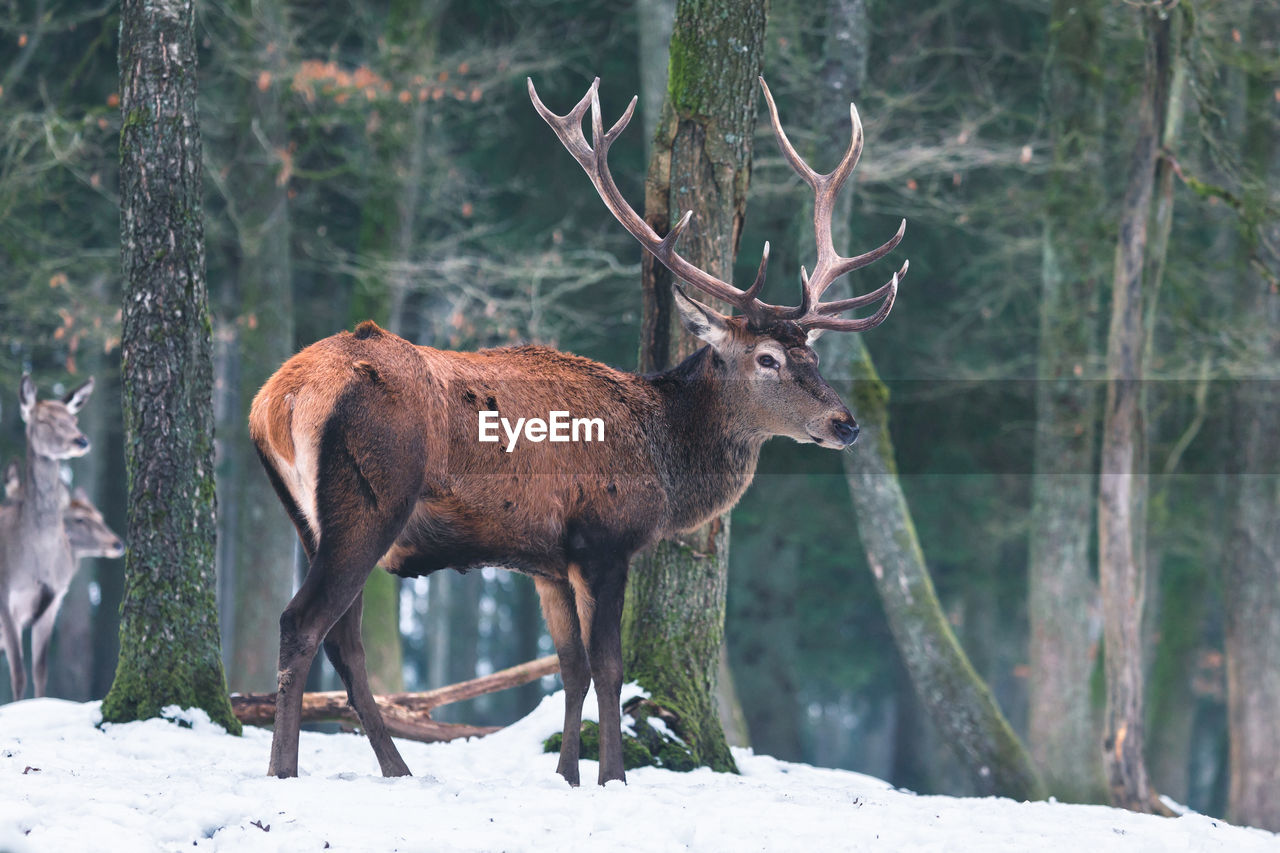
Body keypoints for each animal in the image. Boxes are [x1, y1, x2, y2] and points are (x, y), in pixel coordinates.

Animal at [0, 379, 93, 696]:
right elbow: (18, 673)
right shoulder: (5, 598)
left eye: (73, 419)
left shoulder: (54, 598)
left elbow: (40, 671)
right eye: (44, 420)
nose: (81, 440)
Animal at [252, 78, 911, 783]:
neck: (666, 464)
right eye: (768, 358)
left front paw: (568, 775)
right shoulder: (605, 538)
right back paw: (286, 771)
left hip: (306, 513)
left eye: (811, 354)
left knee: (343, 641)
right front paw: (613, 777)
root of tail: (280, 397)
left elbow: (569, 670)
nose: (846, 424)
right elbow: (609, 669)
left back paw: (395, 769)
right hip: (370, 500)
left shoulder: (546, 559)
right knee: (303, 622)